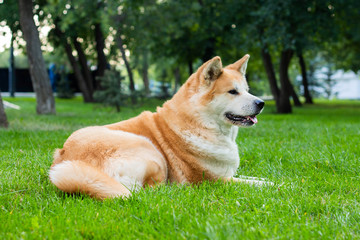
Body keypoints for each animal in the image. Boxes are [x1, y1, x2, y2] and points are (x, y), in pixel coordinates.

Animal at [48, 54, 268, 199]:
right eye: (233, 92)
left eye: (247, 90)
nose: (261, 103)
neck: (199, 124)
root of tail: (65, 157)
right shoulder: (214, 180)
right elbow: (257, 183)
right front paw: (275, 186)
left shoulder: (227, 175)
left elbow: (256, 178)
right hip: (150, 150)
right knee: (152, 192)